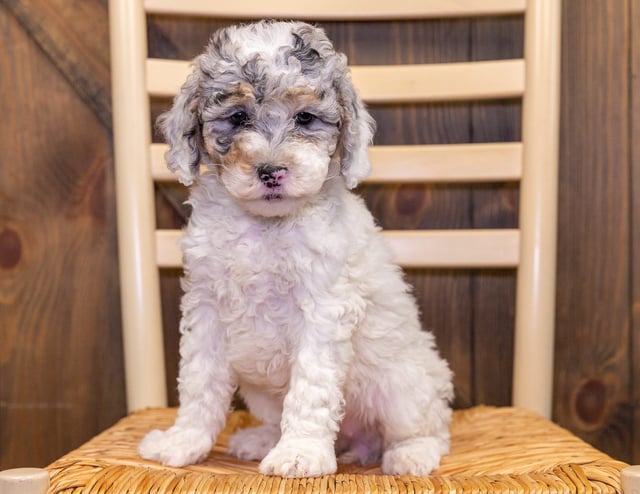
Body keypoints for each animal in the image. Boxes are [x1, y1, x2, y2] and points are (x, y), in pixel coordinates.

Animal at [138, 20, 452, 478]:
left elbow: (311, 387)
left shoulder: (324, 308)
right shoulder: (206, 307)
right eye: (237, 117)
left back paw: (411, 454)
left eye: (305, 117)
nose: (271, 170)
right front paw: (184, 441)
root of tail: (357, 442)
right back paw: (261, 439)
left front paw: (300, 453)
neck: (266, 226)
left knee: (429, 425)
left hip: (403, 383)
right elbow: (199, 383)